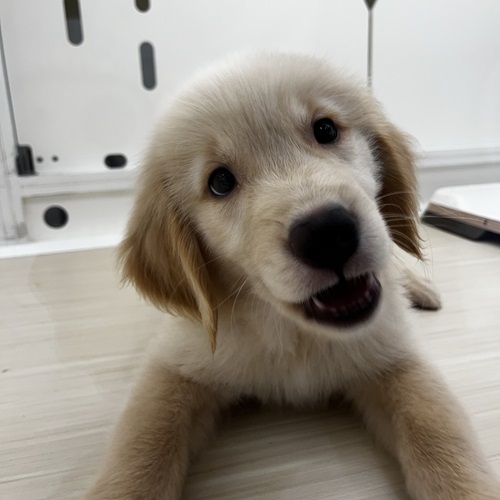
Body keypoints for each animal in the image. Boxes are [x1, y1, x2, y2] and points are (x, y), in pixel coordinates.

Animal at [85, 53, 499, 499]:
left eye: (325, 129)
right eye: (220, 182)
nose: (327, 235)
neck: (293, 334)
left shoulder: (394, 354)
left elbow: (441, 437)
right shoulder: (176, 366)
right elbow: (140, 453)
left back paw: (422, 288)